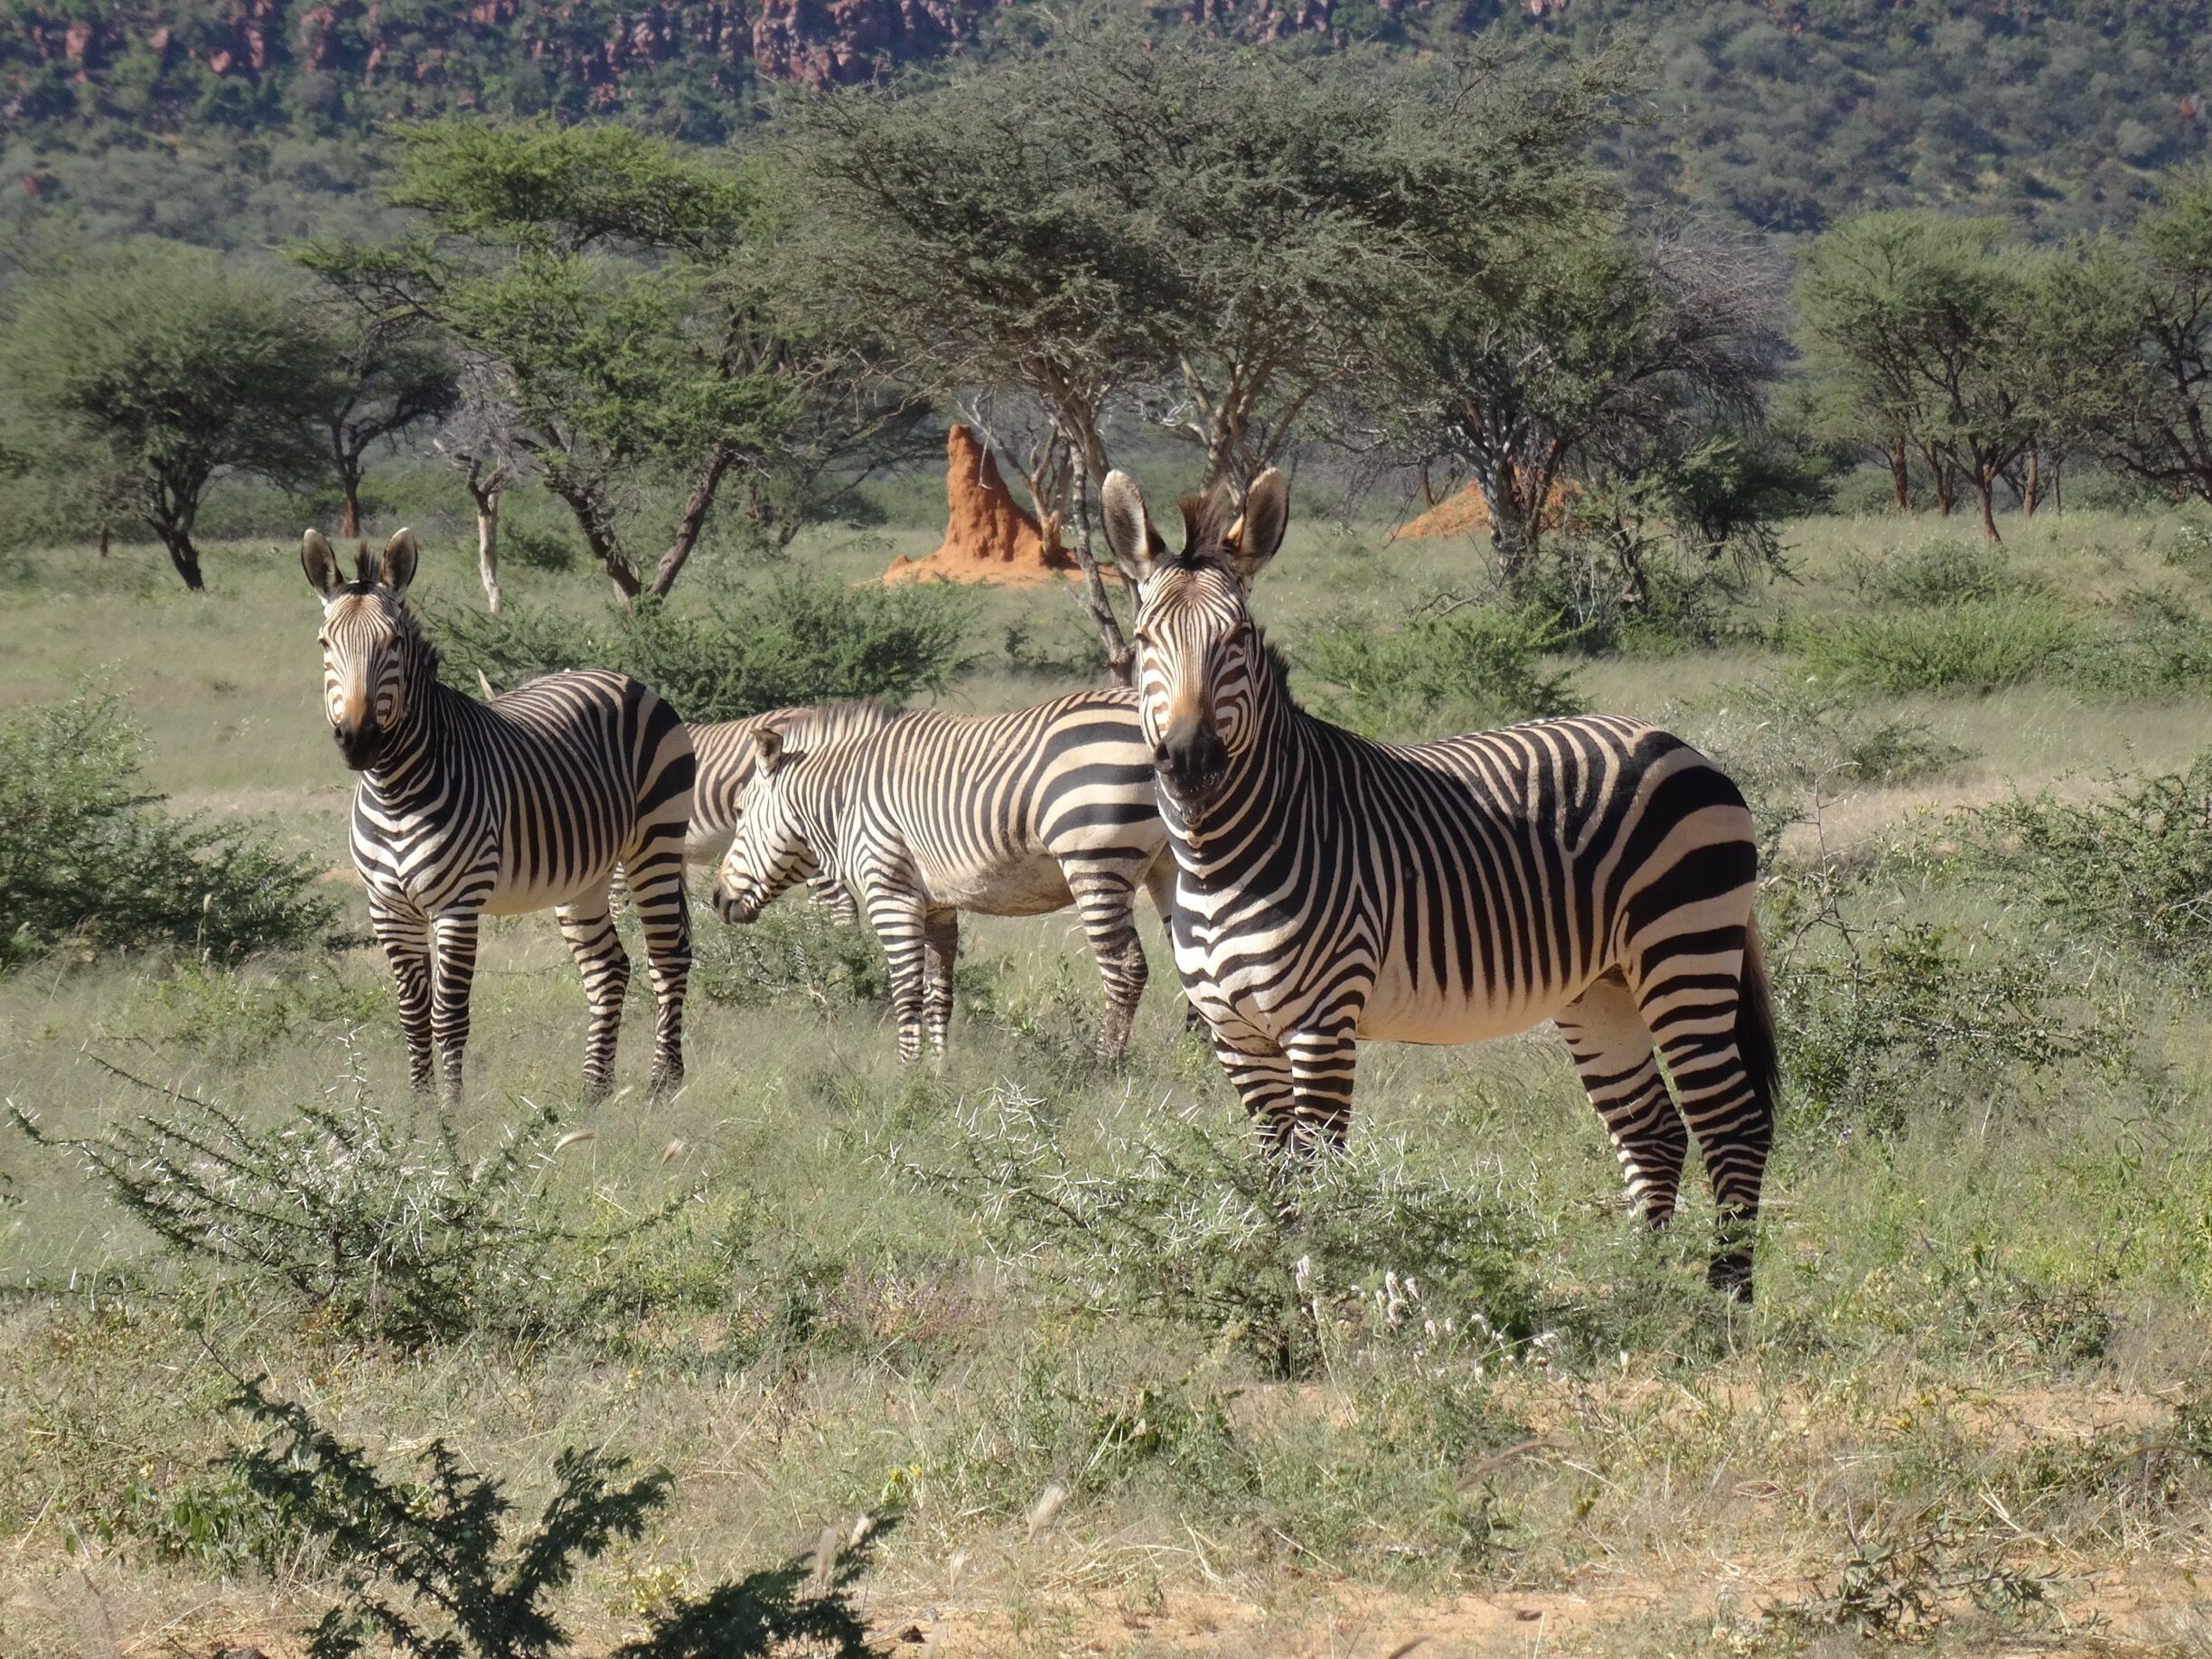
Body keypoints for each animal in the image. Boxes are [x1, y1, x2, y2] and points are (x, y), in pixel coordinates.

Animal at [304, 528, 695, 1102]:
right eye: (325, 644)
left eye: (392, 643)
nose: (358, 740)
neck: (395, 791)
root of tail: (624, 678)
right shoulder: (388, 909)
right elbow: (411, 1017)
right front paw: (418, 1109)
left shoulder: (457, 905)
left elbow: (448, 1016)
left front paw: (451, 1111)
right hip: (586, 876)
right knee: (609, 970)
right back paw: (593, 1094)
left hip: (656, 845)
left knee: (668, 958)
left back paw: (661, 1087)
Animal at [711, 693, 1176, 1062]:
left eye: (740, 810)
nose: (716, 898)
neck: (845, 798)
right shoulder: (937, 905)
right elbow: (939, 994)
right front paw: (939, 1075)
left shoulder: (890, 894)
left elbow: (906, 991)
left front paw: (908, 1076)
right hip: (1172, 862)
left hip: (1096, 862)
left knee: (1126, 969)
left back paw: (1101, 1068)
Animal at [1098, 470, 1779, 1299]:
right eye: (1142, 643)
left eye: (1238, 642)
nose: (1191, 763)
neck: (1220, 857)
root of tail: (1681, 745)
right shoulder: (1237, 1035)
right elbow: (1280, 1182)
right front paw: (1295, 1301)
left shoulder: (1322, 1022)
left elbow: (1320, 1179)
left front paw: (1334, 1304)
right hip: (1603, 987)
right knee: (1654, 1132)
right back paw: (1638, 1294)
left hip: (1685, 951)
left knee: (1731, 1123)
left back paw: (1724, 1302)